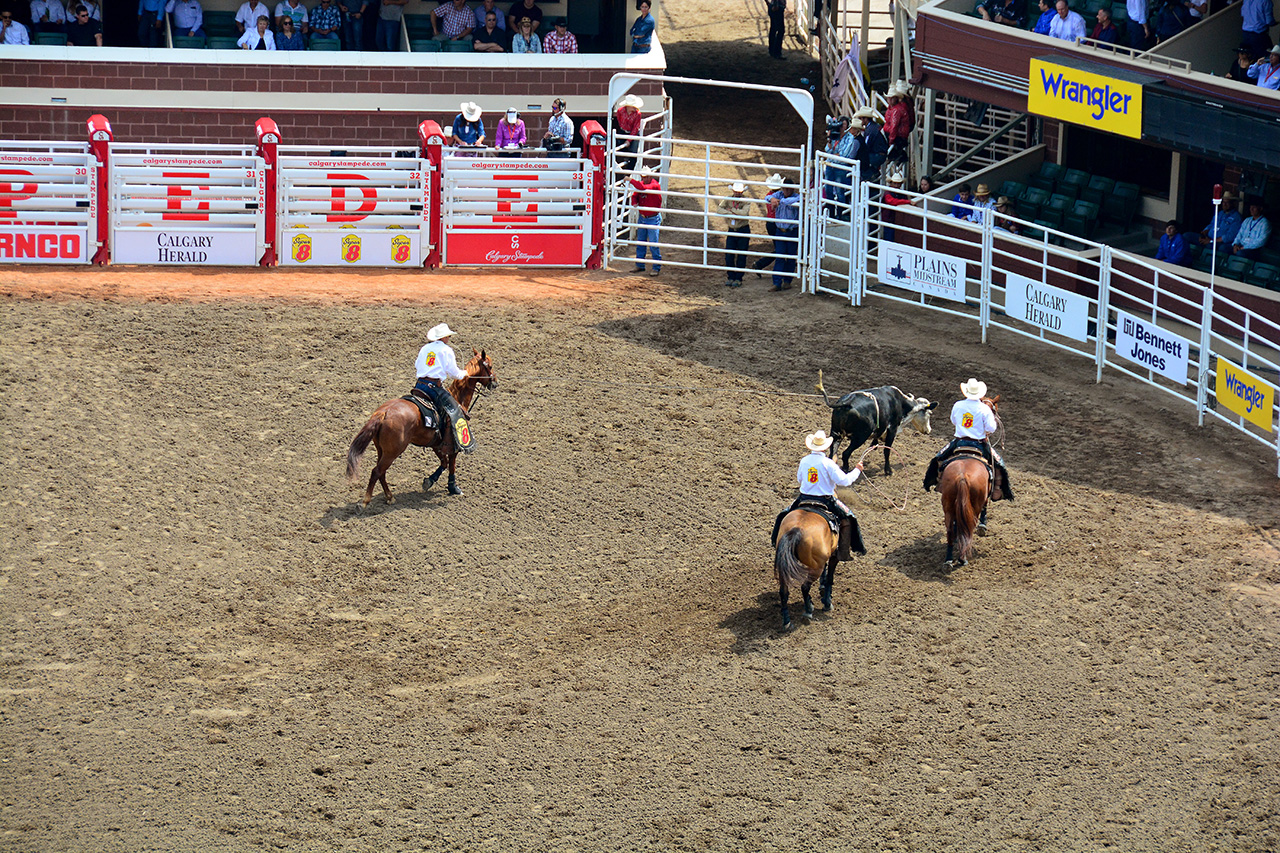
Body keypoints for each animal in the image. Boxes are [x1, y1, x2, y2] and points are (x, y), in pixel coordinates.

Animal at [345, 348, 494, 504]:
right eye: (489, 366)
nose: (495, 382)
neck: (457, 397)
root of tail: (384, 412)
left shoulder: (436, 444)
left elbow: (444, 463)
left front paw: (429, 481)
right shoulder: (453, 445)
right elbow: (451, 464)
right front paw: (453, 487)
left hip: (382, 450)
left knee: (381, 472)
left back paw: (389, 497)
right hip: (392, 452)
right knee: (377, 471)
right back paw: (365, 501)